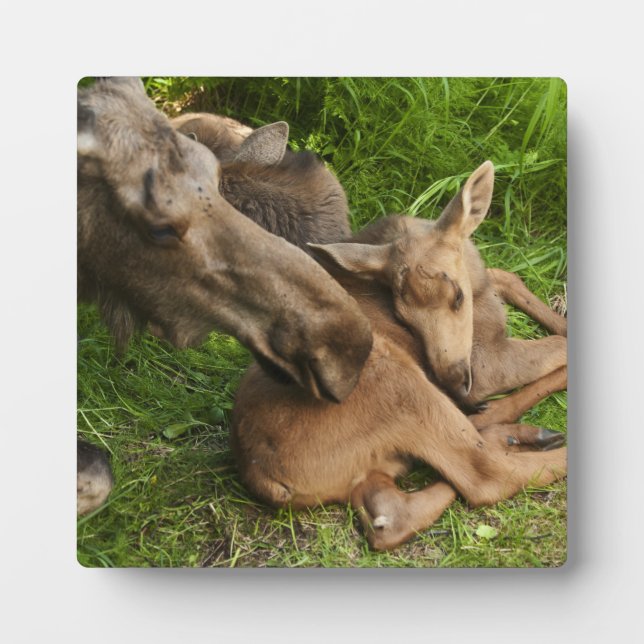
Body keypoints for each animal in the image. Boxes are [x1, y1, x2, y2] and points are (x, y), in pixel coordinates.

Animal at [231, 160, 567, 550]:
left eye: (457, 296)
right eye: (404, 316)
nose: (453, 380)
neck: (480, 291)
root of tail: (262, 477)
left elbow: (508, 275)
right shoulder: (485, 364)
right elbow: (559, 344)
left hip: (366, 469)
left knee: (390, 519)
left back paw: (513, 434)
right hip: (395, 380)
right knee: (485, 474)